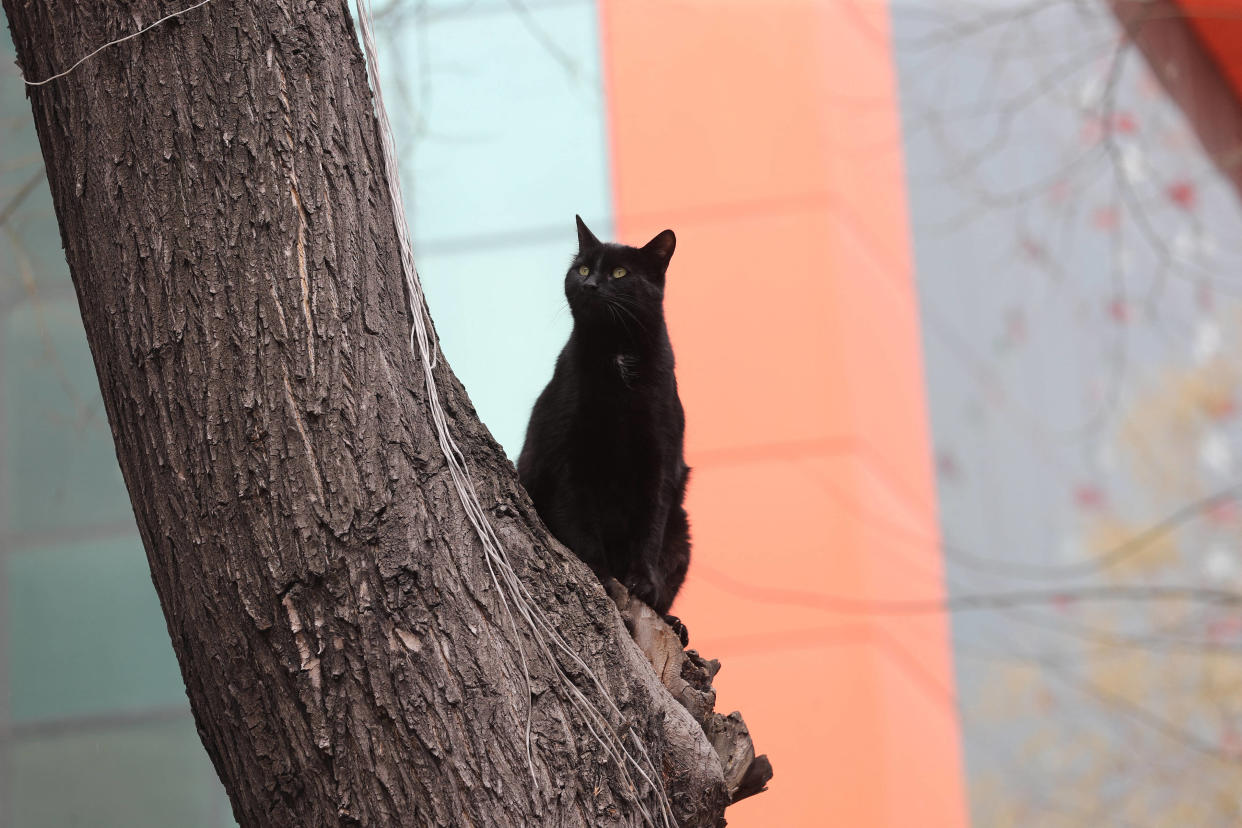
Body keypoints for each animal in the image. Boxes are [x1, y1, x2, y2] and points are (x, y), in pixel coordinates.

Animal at [514, 217, 690, 630]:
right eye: (581, 269)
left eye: (619, 273)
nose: (590, 284)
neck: (617, 353)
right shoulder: (568, 456)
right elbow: (579, 523)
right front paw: (601, 576)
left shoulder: (660, 456)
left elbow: (649, 527)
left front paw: (643, 584)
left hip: (683, 532)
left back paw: (672, 621)